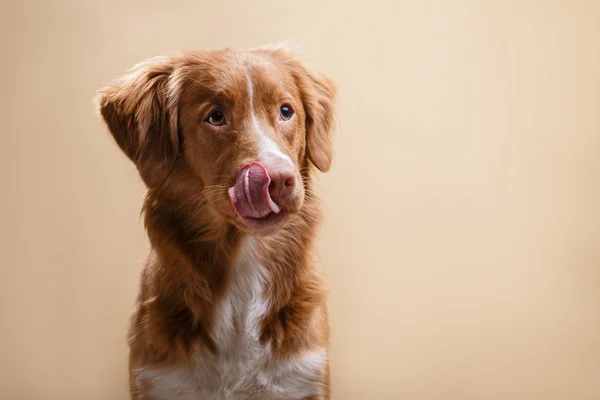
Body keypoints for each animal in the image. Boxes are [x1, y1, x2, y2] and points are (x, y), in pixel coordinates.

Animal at [96, 44, 336, 400]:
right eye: (216, 117)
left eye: (286, 111)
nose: (280, 180)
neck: (242, 260)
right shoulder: (161, 379)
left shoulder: (301, 377)